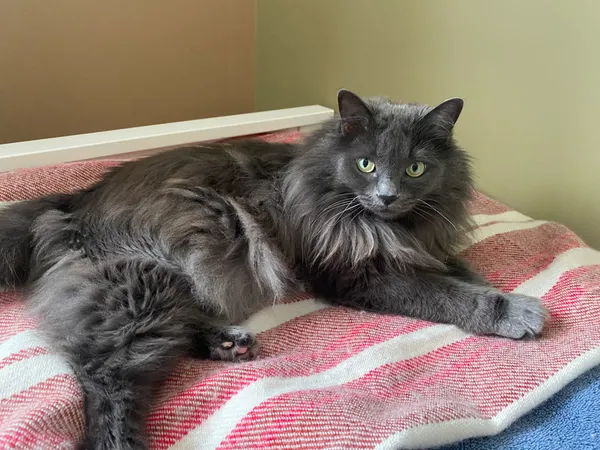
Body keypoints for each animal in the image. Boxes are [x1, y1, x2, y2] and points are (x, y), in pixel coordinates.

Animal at [0, 90, 548, 450]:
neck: (394, 227)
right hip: (145, 283)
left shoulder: (426, 248)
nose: (388, 196)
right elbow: (447, 293)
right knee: (104, 382)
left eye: (416, 168)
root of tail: (72, 201)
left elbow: (465, 277)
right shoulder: (356, 274)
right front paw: (516, 313)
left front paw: (508, 297)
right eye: (366, 164)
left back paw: (229, 344)